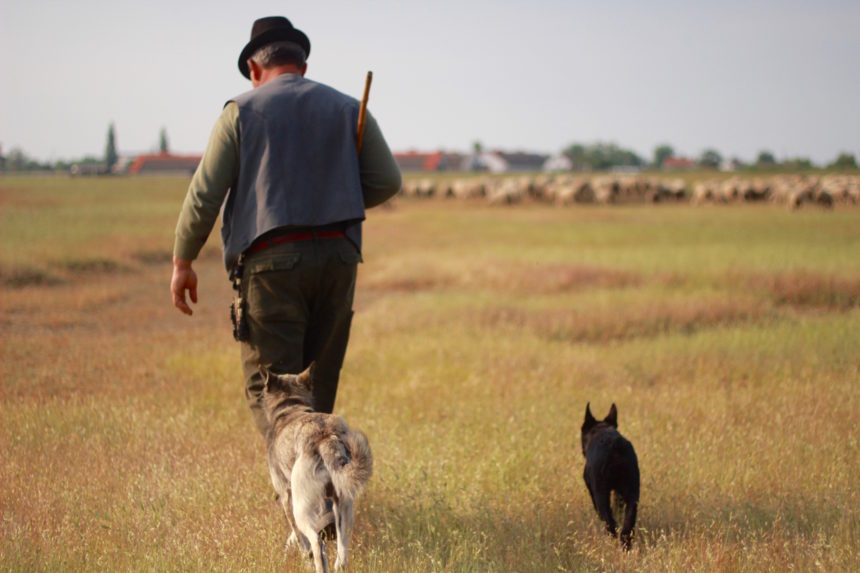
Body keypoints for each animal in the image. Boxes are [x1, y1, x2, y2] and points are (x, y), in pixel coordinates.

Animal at [260, 362, 372, 572]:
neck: (290, 406)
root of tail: (325, 437)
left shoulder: (286, 497)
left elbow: (299, 538)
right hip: (344, 509)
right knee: (341, 556)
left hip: (301, 508)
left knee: (316, 544)